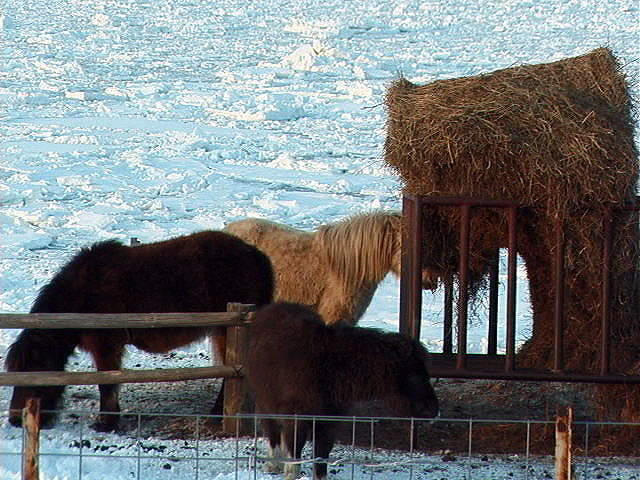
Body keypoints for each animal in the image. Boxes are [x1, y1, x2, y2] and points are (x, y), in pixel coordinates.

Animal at [6, 231, 274, 434]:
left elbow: (107, 383)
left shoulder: (106, 345)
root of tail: (253, 253)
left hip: (226, 332)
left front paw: (107, 423)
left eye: (32, 371)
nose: (15, 419)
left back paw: (217, 416)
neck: (82, 296)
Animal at [246, 302, 440, 480]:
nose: (434, 411)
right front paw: (290, 473)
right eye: (414, 376)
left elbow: (322, 454)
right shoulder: (297, 416)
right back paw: (273, 464)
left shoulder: (330, 421)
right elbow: (295, 448)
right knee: (272, 431)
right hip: (265, 401)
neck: (329, 367)